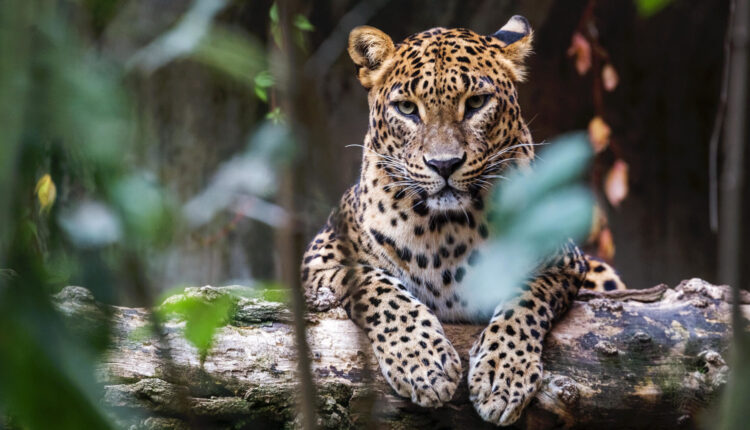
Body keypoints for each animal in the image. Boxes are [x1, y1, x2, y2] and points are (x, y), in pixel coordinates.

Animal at [301, 15, 626, 426]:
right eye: (407, 108)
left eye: (475, 103)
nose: (444, 164)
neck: (446, 229)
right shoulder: (322, 257)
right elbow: (379, 289)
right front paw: (424, 364)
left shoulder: (563, 261)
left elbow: (524, 300)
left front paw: (503, 376)